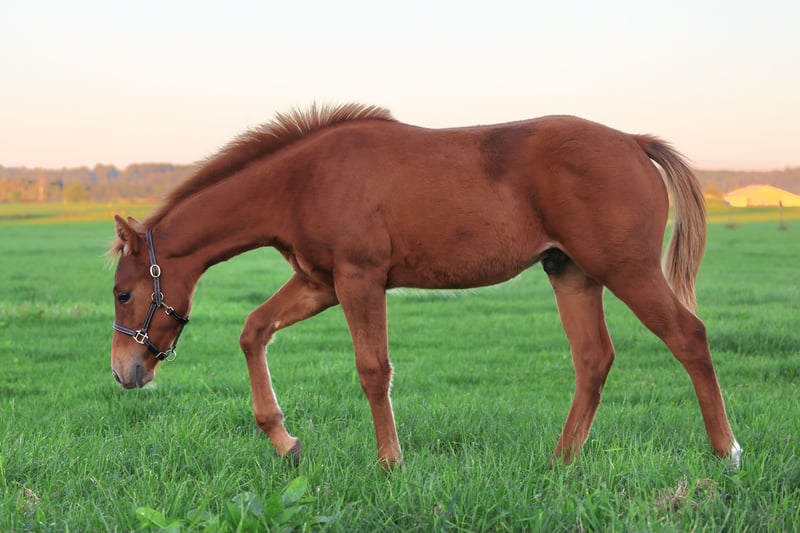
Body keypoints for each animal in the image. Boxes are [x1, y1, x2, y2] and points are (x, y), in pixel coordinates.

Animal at [108, 102, 740, 468]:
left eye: (122, 293)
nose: (123, 372)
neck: (303, 180)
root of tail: (633, 141)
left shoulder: (359, 279)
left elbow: (373, 369)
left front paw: (391, 462)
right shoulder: (320, 282)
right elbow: (253, 329)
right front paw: (285, 441)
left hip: (627, 270)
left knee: (689, 337)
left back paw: (725, 453)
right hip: (572, 272)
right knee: (594, 359)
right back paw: (560, 462)